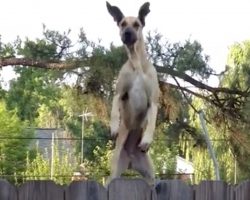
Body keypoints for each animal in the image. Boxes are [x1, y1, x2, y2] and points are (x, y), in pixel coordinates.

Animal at [106, 1, 160, 186]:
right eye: (122, 24)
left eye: (137, 24)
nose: (127, 33)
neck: (136, 63)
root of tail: (130, 159)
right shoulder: (119, 92)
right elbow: (114, 111)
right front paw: (114, 127)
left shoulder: (153, 100)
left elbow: (151, 122)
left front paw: (147, 140)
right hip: (114, 171)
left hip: (150, 174)